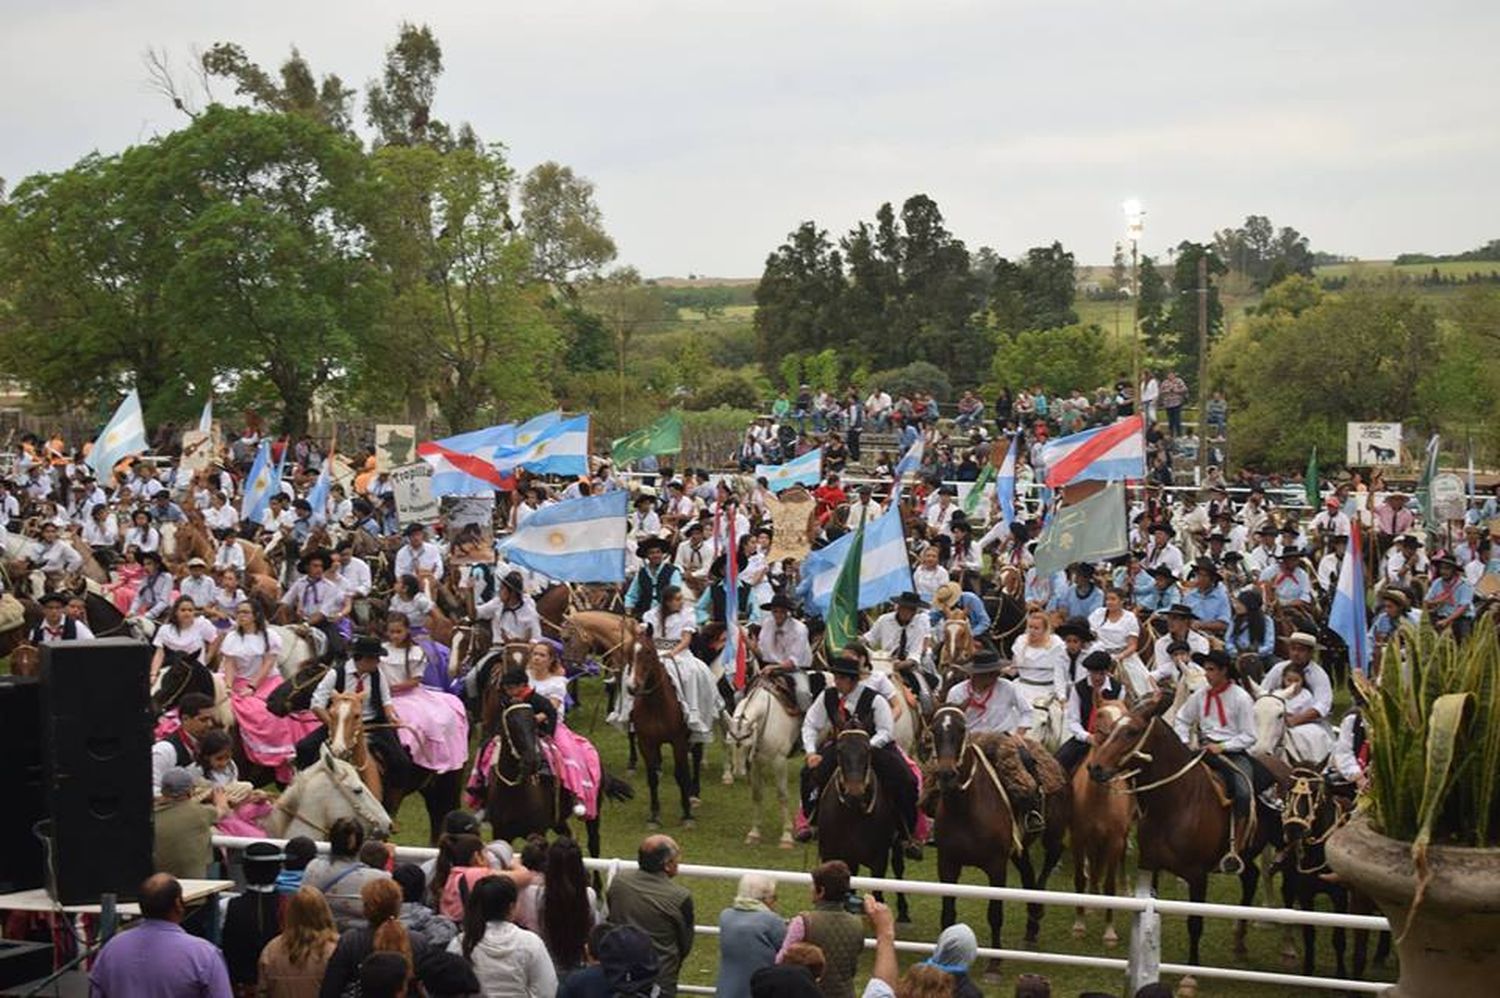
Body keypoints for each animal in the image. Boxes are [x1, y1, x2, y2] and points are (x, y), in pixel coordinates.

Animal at [816, 723, 906, 924]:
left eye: (868, 751)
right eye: (839, 751)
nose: (854, 794)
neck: (853, 817)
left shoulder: (879, 860)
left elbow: (878, 893)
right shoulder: (832, 856)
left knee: (899, 870)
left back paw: (904, 913)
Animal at [1068, 696, 1134, 948]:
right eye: (1100, 720)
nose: (1099, 770)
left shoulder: (1115, 840)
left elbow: (1110, 884)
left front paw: (1109, 932)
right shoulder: (1078, 838)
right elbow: (1079, 878)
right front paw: (1079, 924)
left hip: (1123, 835)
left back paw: (1126, 889)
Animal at [1086, 693, 1284, 966]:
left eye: (1132, 731)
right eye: (1112, 727)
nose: (1095, 767)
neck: (1178, 803)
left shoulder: (1197, 875)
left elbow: (1195, 923)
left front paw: (1191, 972)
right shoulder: (1150, 866)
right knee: (1251, 878)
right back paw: (1239, 944)